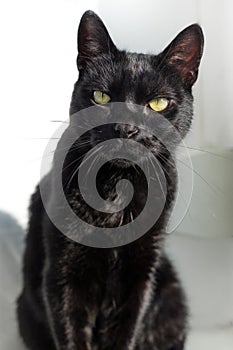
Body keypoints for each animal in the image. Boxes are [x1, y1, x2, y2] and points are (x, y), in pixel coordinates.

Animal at [16, 9, 204, 348]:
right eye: (101, 96)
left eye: (158, 103)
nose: (126, 128)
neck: (117, 188)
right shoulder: (63, 274)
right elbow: (71, 333)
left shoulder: (140, 274)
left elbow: (125, 331)